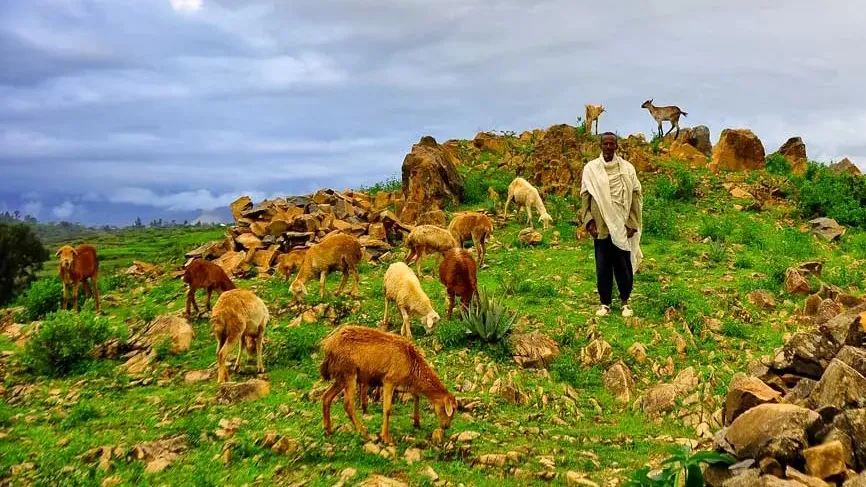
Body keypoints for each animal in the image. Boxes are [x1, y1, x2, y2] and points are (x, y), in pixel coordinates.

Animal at [319, 325, 457, 445]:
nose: (446, 426)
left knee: (326, 397)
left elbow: (416, 397)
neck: (413, 364)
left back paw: (328, 430)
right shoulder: (389, 381)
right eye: (451, 409)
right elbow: (387, 409)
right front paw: (386, 437)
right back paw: (363, 433)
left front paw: (417, 422)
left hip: (340, 377)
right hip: (349, 374)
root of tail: (328, 346)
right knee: (348, 405)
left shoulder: (406, 382)